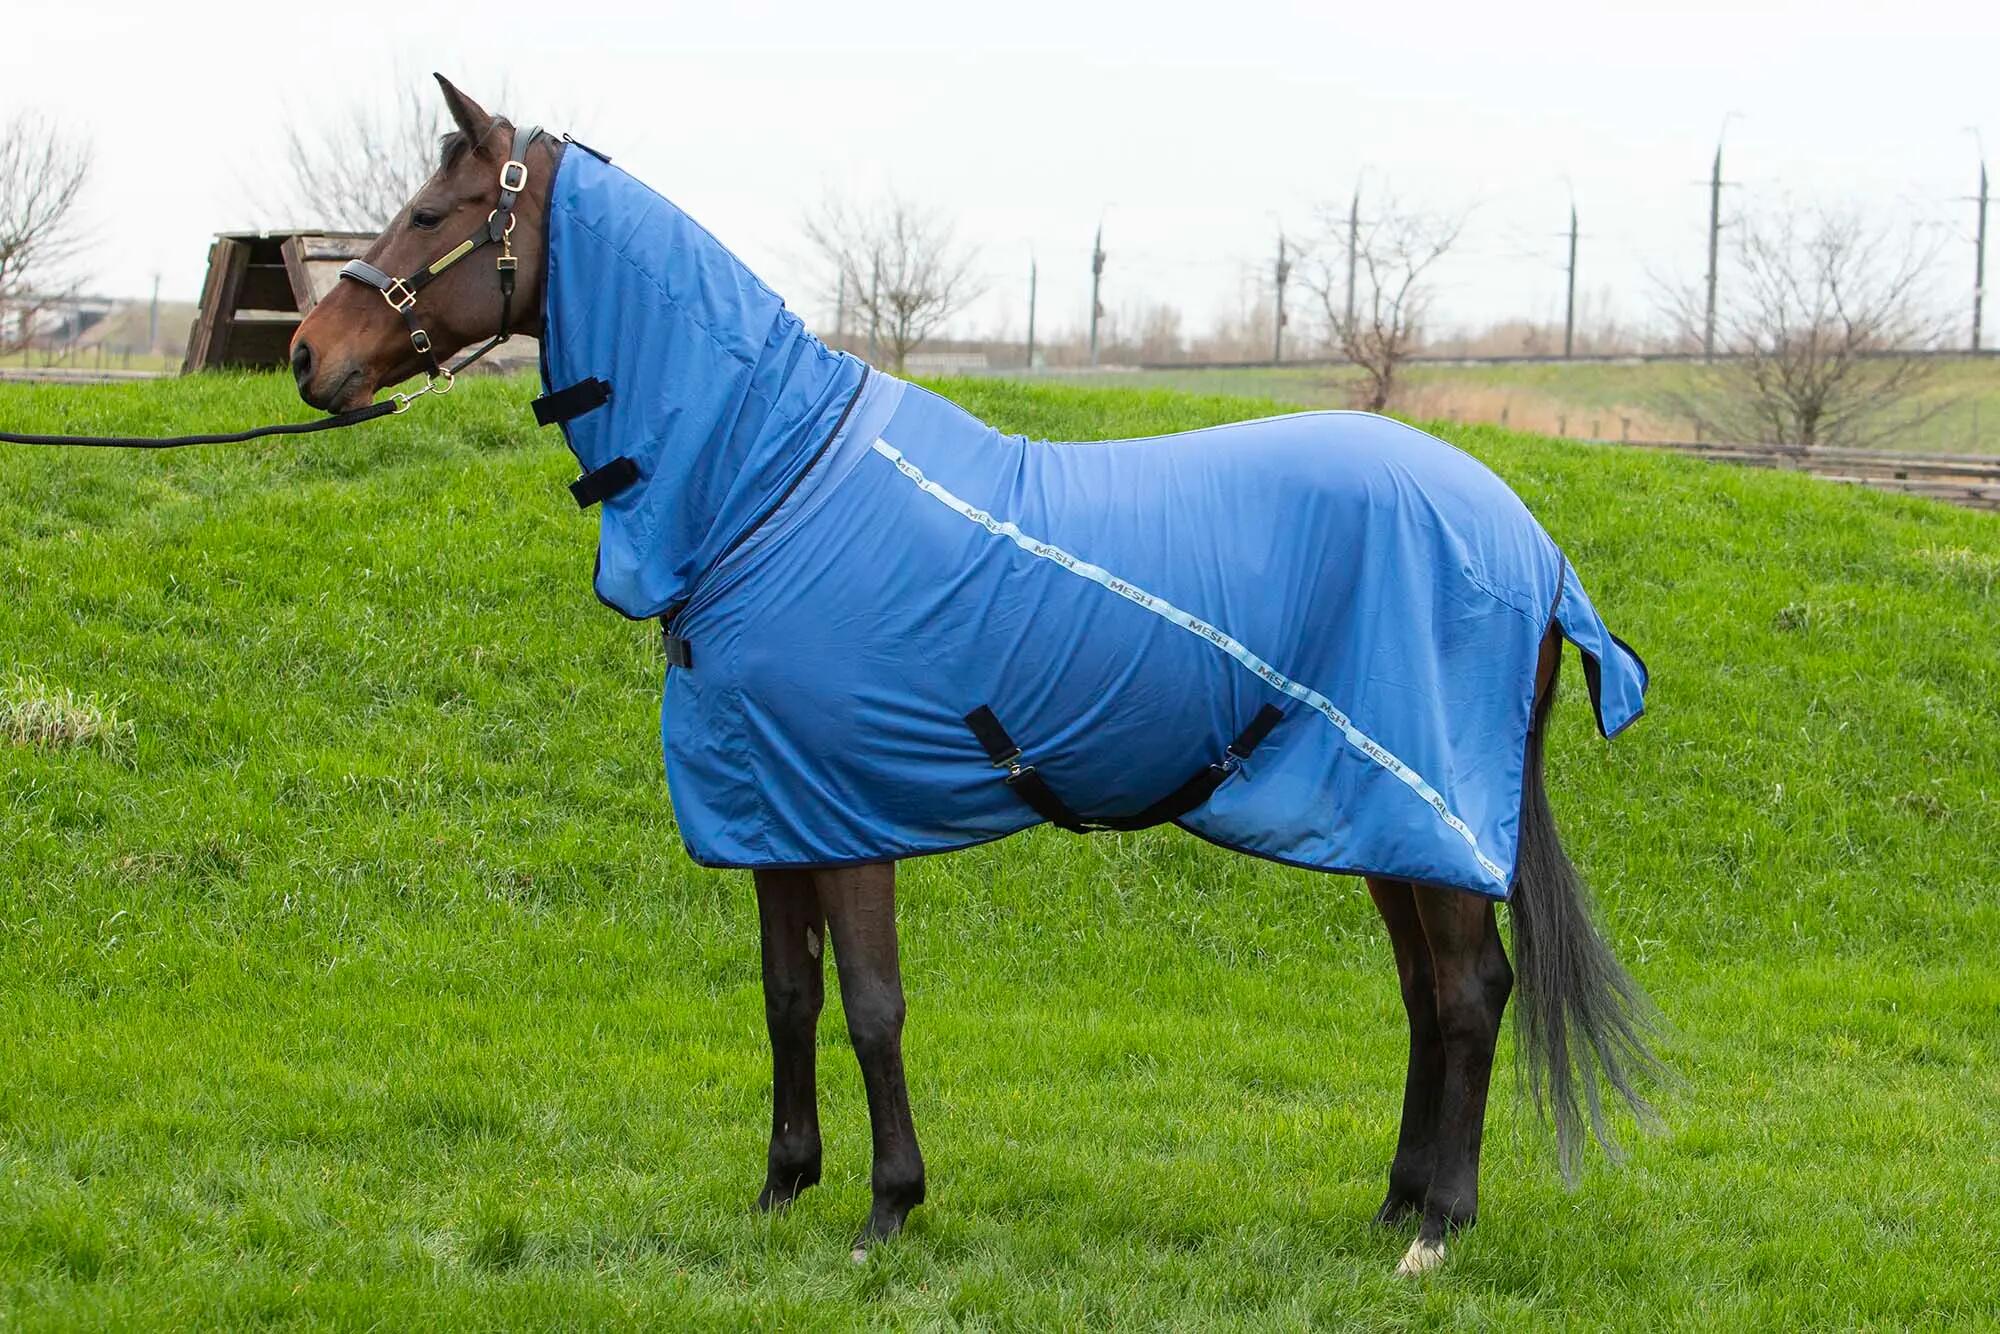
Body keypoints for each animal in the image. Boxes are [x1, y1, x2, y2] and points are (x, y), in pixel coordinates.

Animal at [290, 75, 1660, 1275]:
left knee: (1470, 991)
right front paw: (781, 1188)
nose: (307, 354)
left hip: (1424, 807)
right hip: (1378, 819)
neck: (771, 481)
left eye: (434, 212)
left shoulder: (845, 815)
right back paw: (1391, 1205)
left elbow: (870, 1004)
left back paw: (1438, 1227)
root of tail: (1531, 546)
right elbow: (787, 996)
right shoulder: (771, 809)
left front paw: (885, 1209)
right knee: (1425, 994)